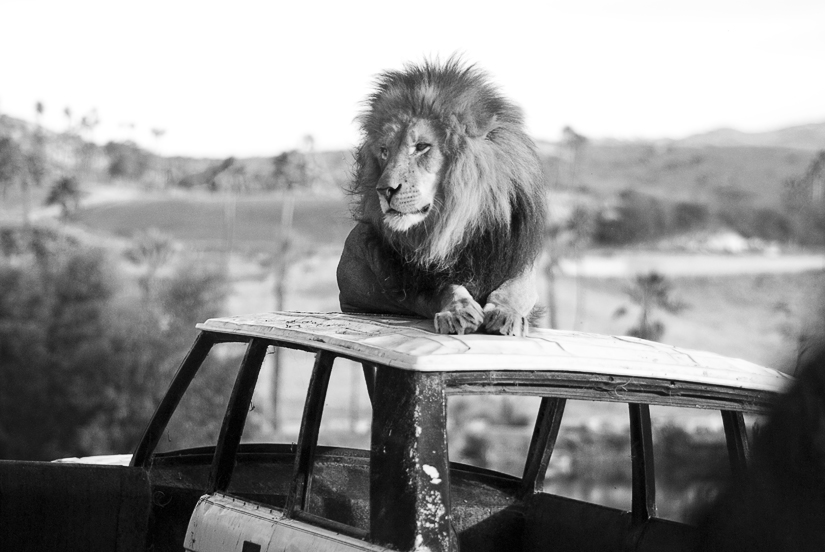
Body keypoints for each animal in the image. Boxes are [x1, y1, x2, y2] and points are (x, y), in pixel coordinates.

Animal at [334, 60, 548, 336]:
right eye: (384, 151)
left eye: (422, 147)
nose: (384, 190)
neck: (454, 224)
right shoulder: (415, 283)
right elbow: (447, 288)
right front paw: (458, 312)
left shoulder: (516, 261)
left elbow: (514, 290)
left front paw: (506, 314)